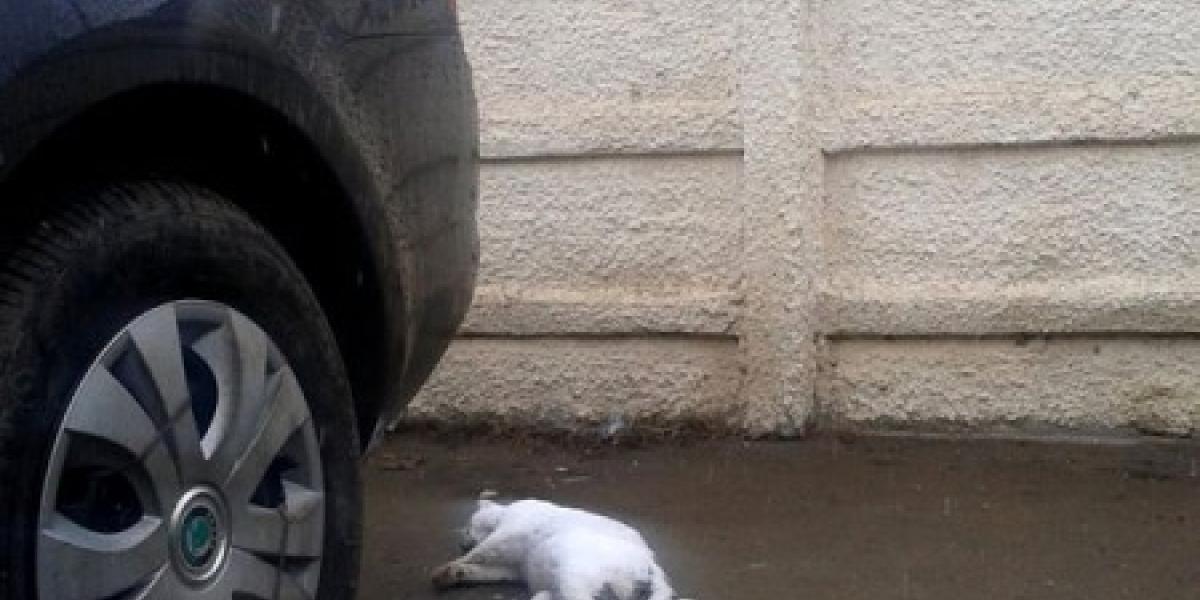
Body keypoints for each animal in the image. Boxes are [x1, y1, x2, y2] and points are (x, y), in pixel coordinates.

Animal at [431, 497, 682, 600]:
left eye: (467, 526)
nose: (460, 541)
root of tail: (651, 564)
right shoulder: (514, 568)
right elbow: (492, 571)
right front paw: (452, 573)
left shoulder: (514, 528)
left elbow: (485, 548)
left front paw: (448, 567)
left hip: (578, 568)